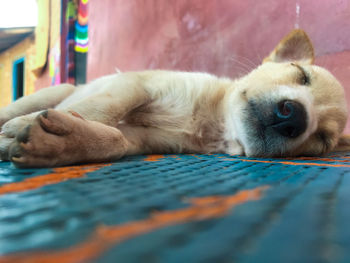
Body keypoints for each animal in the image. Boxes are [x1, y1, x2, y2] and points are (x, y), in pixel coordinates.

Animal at [0, 29, 348, 169]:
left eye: (322, 139)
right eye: (301, 74)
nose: (295, 117)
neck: (211, 123)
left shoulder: (140, 138)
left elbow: (113, 139)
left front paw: (60, 142)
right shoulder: (137, 84)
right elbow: (103, 107)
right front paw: (24, 126)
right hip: (55, 90)